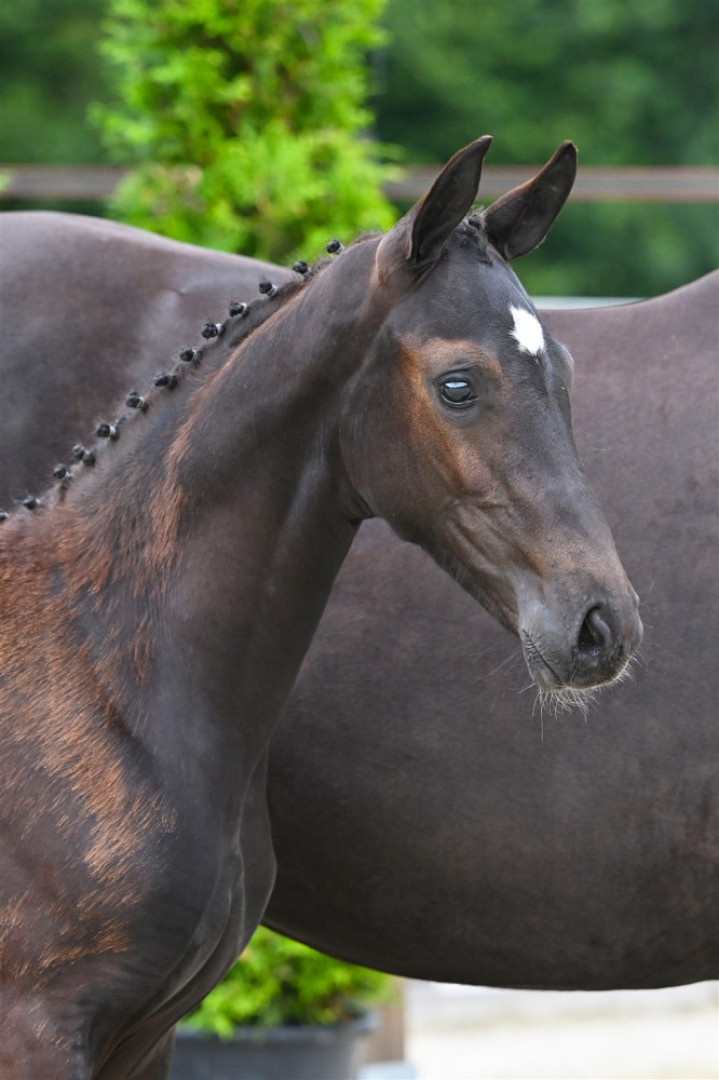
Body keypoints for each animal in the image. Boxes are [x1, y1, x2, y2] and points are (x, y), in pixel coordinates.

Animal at [0, 138, 642, 1078]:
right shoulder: (37, 1029)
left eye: (559, 372)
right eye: (458, 384)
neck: (99, 670)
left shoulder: (143, 1039)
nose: (601, 625)